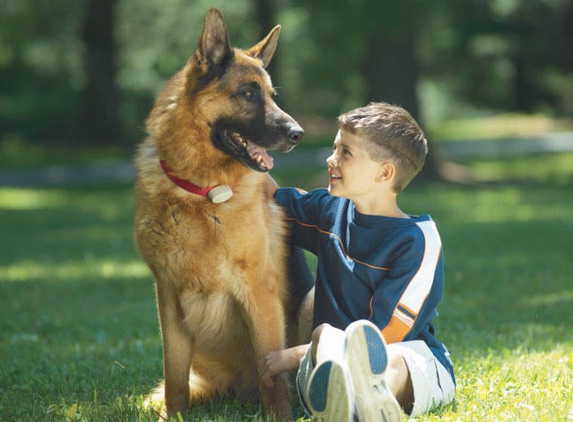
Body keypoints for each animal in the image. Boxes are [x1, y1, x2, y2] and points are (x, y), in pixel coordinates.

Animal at [135, 7, 306, 422]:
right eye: (248, 93)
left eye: (272, 95)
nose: (299, 134)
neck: (199, 193)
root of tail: (237, 393)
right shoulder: (167, 296)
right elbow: (174, 379)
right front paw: (174, 417)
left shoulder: (260, 292)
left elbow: (273, 374)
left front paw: (280, 415)